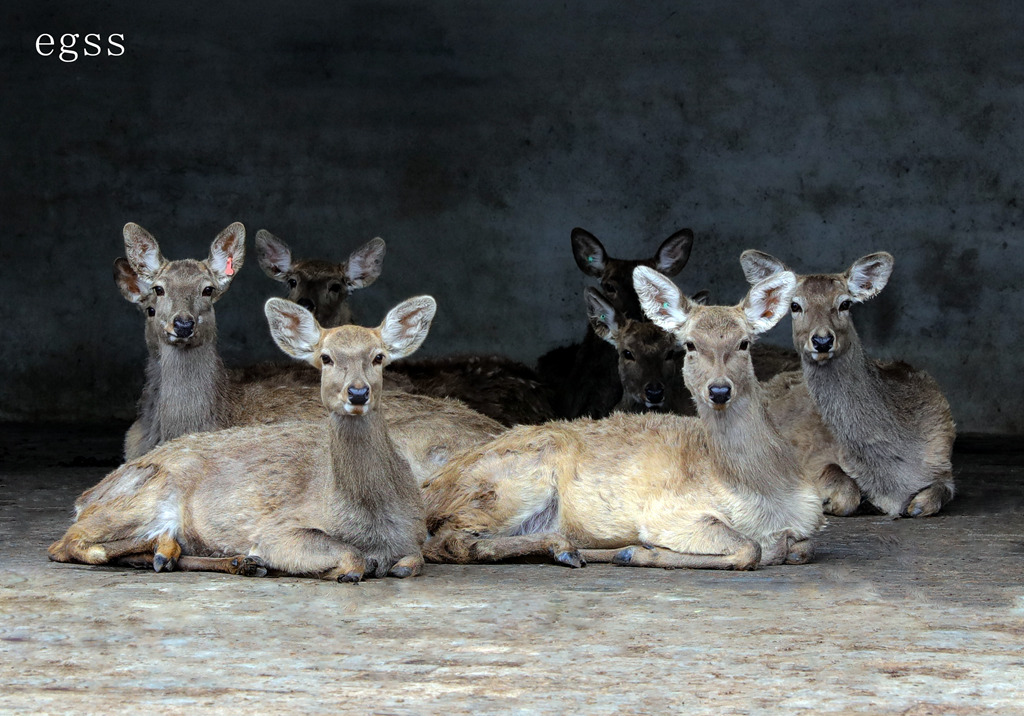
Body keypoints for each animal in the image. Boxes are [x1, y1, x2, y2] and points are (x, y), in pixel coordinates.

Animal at [48, 297, 440, 581]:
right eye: (326, 358)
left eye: (379, 357)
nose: (357, 393)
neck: (374, 521)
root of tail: (85, 498)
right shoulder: (279, 530)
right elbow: (352, 559)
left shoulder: (414, 536)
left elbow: (412, 562)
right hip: (142, 496)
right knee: (67, 543)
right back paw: (170, 549)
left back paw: (210, 559)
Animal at [421, 266, 823, 573]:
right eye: (690, 345)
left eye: (744, 343)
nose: (719, 390)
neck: (766, 493)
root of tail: (432, 488)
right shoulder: (670, 512)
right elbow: (750, 549)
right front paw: (639, 551)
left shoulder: (811, 518)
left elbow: (800, 548)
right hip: (506, 487)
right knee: (446, 542)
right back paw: (566, 547)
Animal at [741, 248, 954, 518]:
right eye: (795, 305)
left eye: (845, 303)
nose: (822, 341)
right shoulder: (805, 454)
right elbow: (842, 487)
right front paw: (827, 502)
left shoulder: (943, 462)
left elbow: (932, 499)